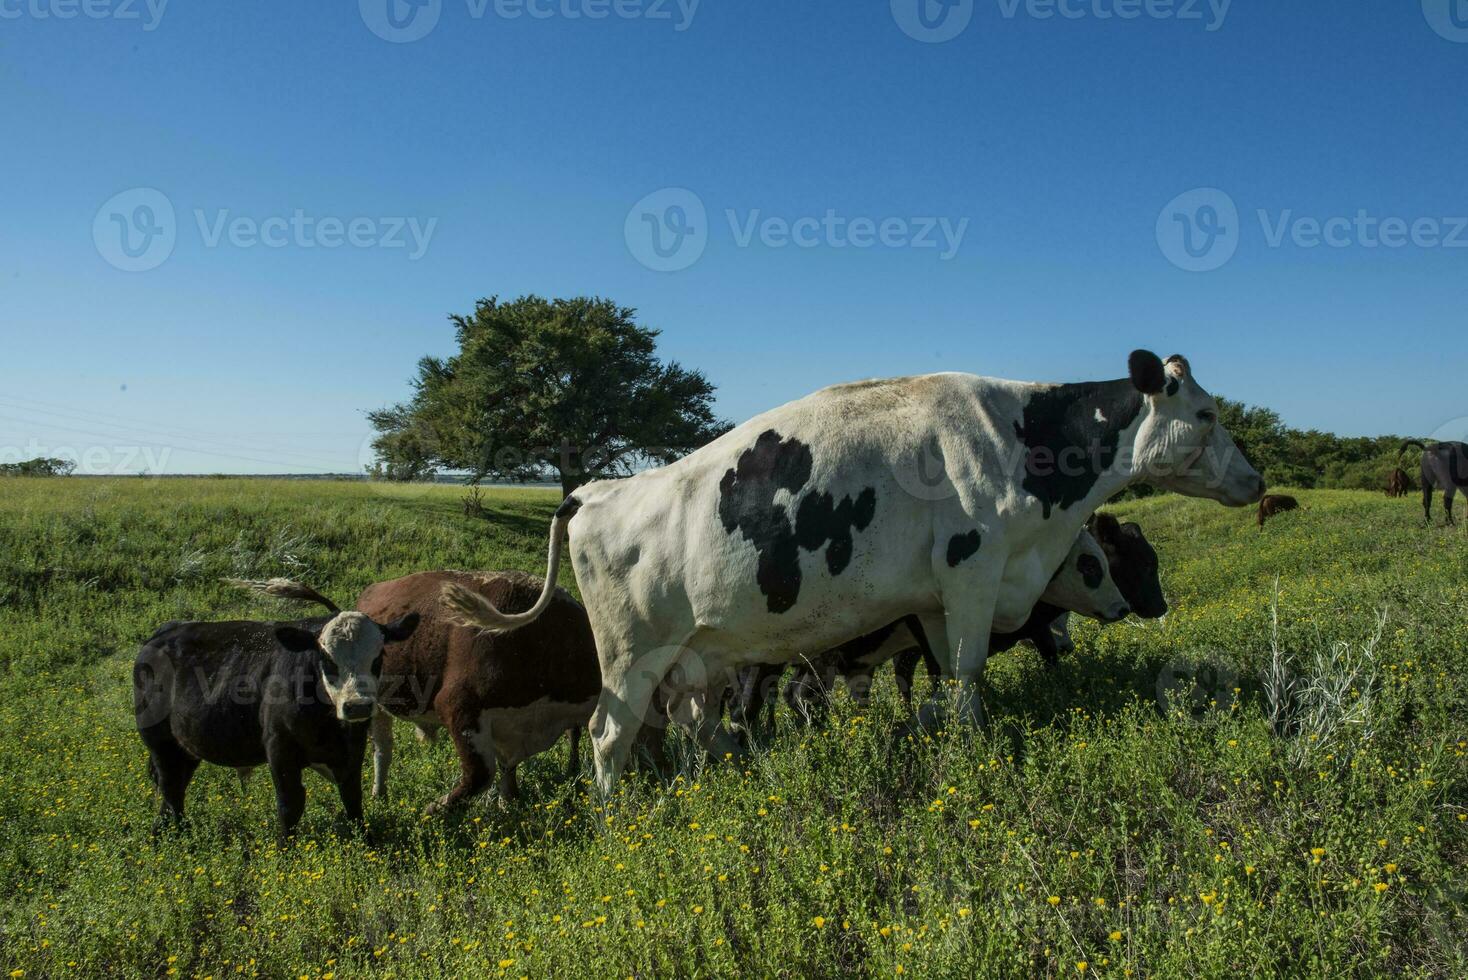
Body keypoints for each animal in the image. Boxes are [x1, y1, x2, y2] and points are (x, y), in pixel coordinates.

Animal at [135, 580, 419, 845]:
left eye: (378, 656)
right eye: (327, 658)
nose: (358, 705)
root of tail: (166, 630)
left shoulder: (352, 749)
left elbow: (352, 798)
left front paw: (366, 841)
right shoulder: (280, 749)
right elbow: (290, 804)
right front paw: (285, 849)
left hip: (186, 747)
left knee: (175, 790)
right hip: (160, 743)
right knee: (171, 790)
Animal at [446, 347, 1262, 792]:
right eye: (1209, 414)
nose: (1254, 479)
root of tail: (596, 490)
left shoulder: (933, 601)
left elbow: (941, 683)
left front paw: (943, 741)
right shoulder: (973, 572)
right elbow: (969, 677)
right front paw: (977, 754)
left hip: (691, 658)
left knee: (689, 729)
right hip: (628, 653)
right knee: (607, 737)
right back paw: (619, 826)